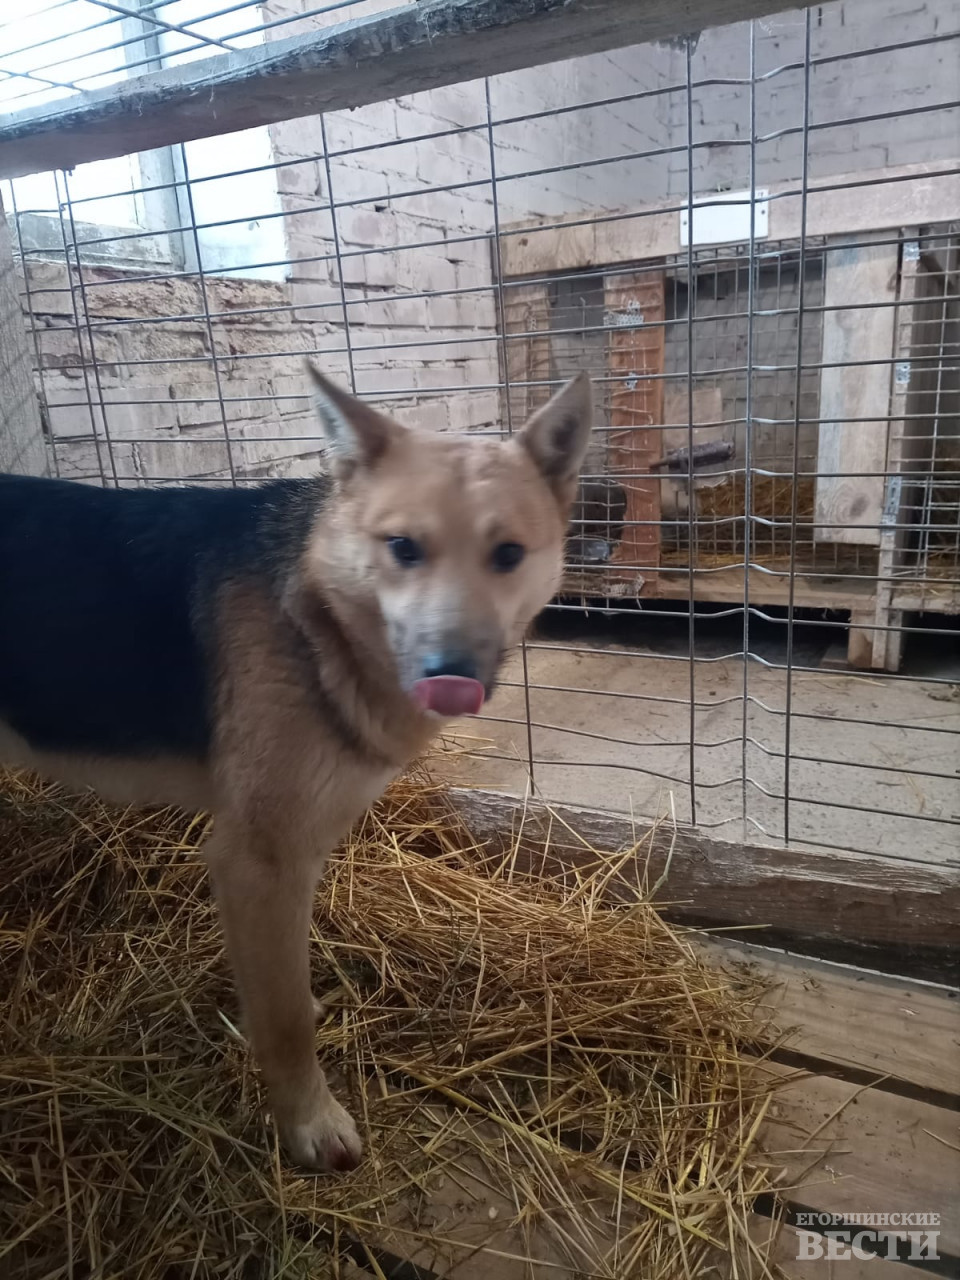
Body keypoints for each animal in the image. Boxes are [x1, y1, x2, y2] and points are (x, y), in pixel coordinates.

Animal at [0, 366, 593, 1172]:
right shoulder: (257, 858)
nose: (451, 676)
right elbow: (285, 1023)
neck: (318, 614)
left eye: (507, 554)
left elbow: (285, 982)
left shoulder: (301, 854)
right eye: (402, 547)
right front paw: (308, 1122)